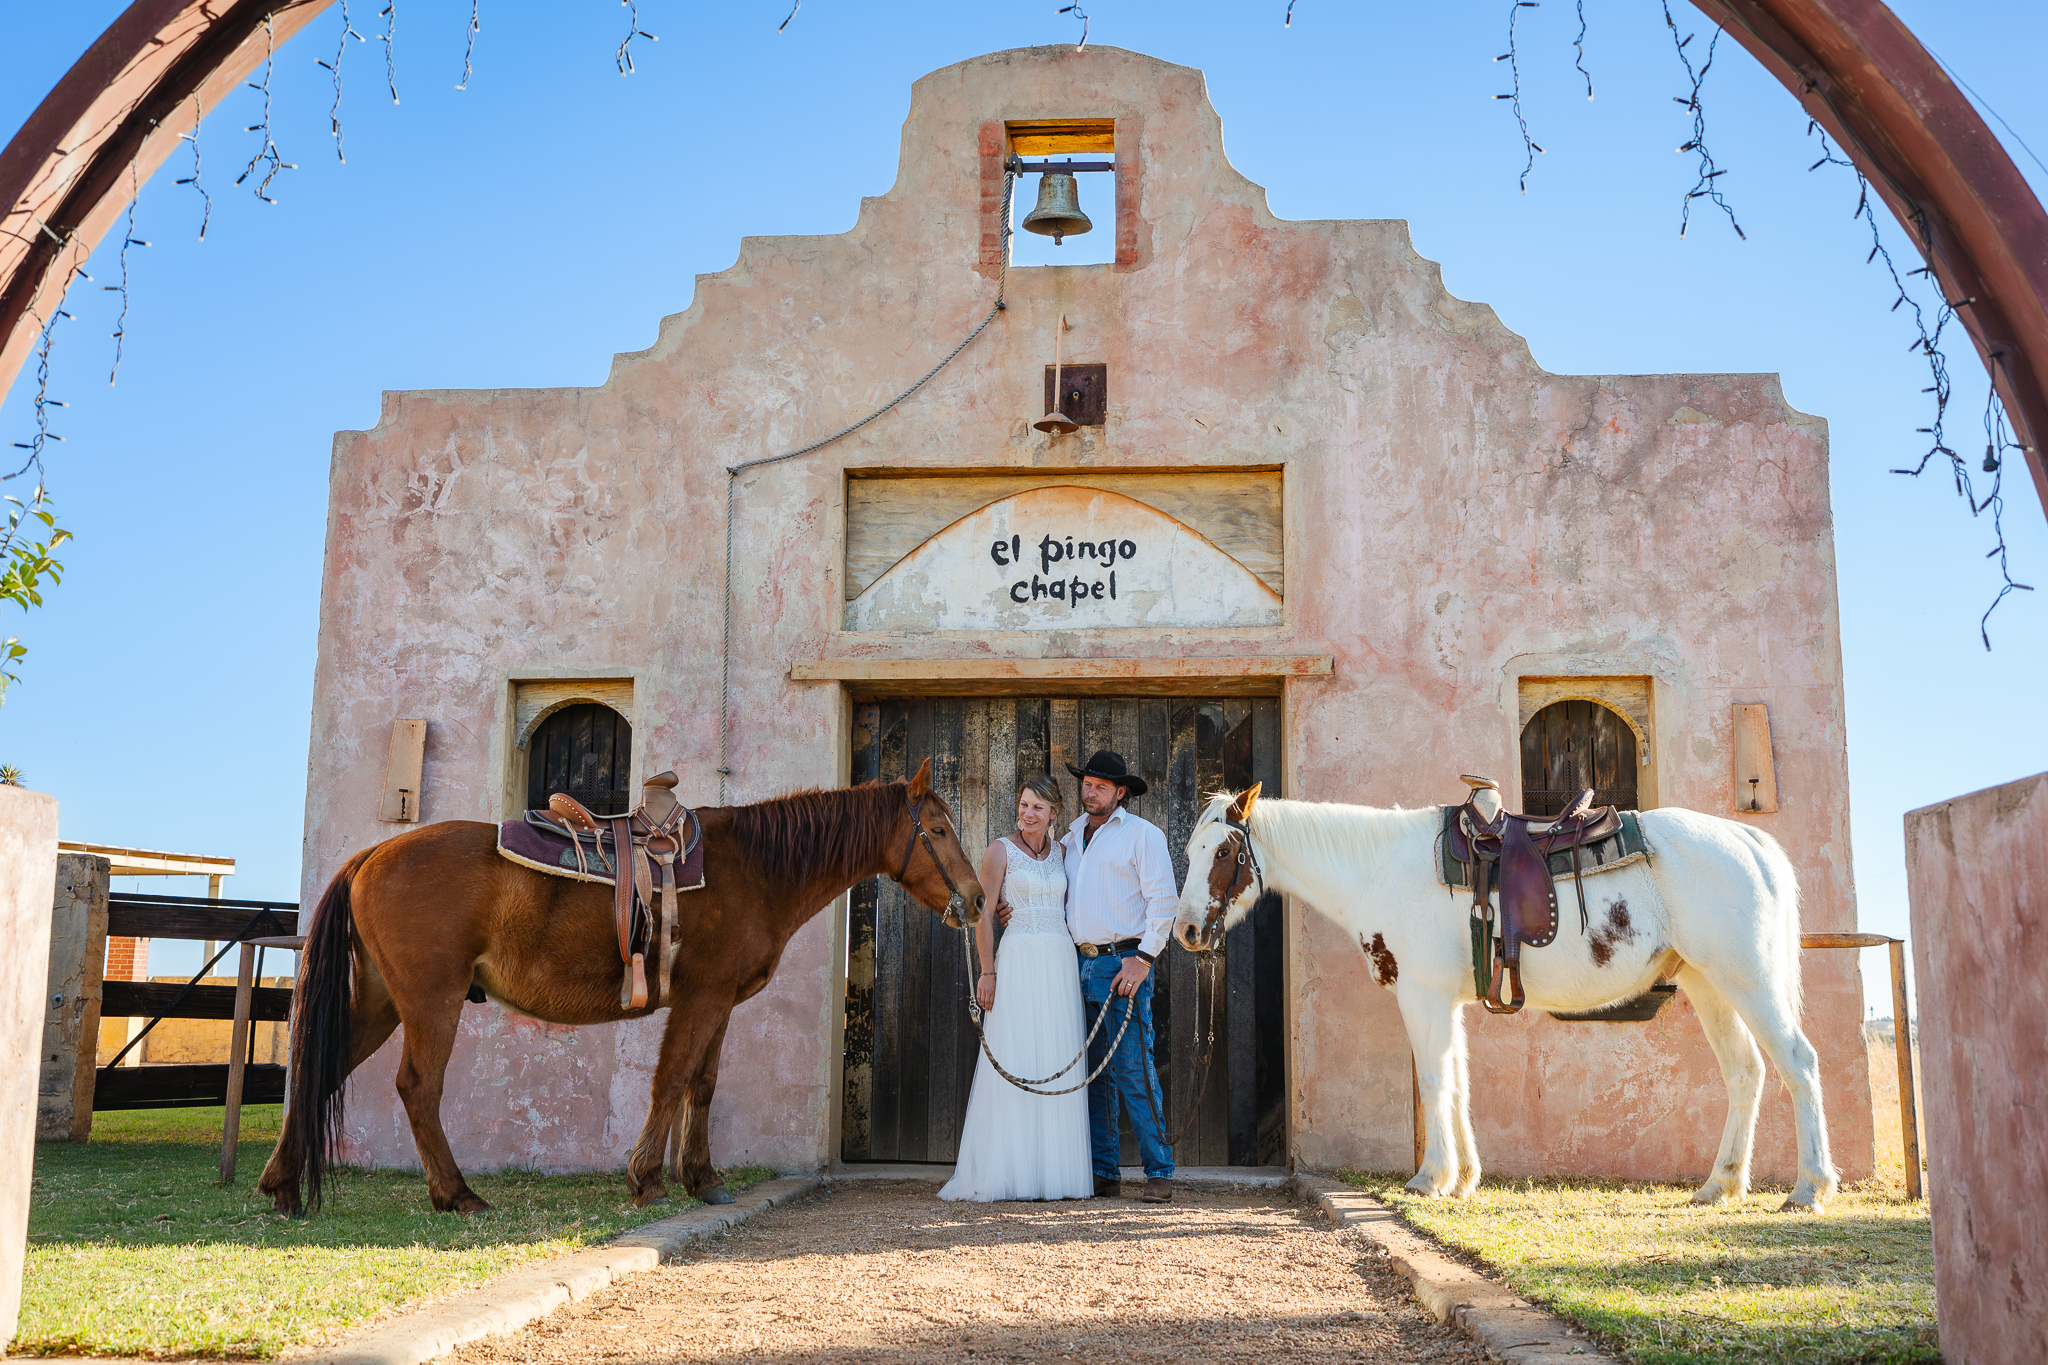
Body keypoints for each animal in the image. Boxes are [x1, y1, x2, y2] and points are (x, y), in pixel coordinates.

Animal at [258, 757, 982, 1216]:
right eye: (938, 829)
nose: (977, 900)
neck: (755, 868)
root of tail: (371, 855)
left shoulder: (719, 1002)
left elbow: (701, 1085)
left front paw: (702, 1179)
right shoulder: (702, 996)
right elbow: (672, 1079)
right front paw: (648, 1180)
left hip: (383, 1000)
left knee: (320, 1066)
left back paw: (284, 1186)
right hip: (430, 999)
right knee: (418, 1088)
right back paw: (457, 1193)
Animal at [1172, 785, 1838, 1212]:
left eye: (1224, 852)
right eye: (1190, 852)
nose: (1187, 932)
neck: (1383, 868)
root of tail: (1751, 840)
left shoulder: (1423, 995)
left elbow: (1435, 1080)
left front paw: (1430, 1179)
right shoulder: (1449, 1001)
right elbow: (1458, 1084)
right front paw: (1465, 1179)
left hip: (1748, 978)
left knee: (1799, 1065)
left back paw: (1810, 1187)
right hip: (1708, 983)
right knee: (1746, 1073)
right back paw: (1719, 1185)